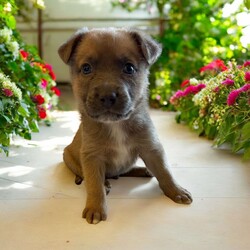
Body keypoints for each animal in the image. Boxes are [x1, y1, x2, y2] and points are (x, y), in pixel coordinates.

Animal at [58, 27, 193, 225]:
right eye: (86, 68)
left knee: (125, 171)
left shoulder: (151, 148)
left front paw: (176, 190)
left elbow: (164, 171)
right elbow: (94, 184)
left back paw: (143, 170)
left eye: (129, 68)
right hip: (68, 157)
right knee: (87, 175)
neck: (116, 125)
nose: (107, 96)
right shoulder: (91, 156)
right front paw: (95, 207)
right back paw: (106, 182)